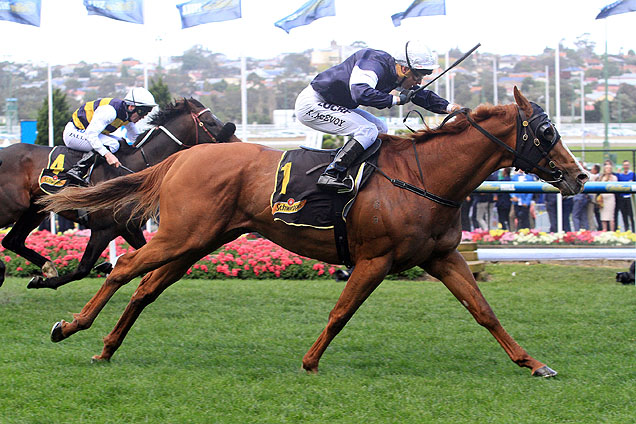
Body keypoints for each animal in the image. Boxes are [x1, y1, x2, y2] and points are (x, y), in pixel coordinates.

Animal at [0, 97, 238, 288]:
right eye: (210, 122)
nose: (238, 144)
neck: (137, 166)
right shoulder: (103, 229)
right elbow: (82, 269)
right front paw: (42, 281)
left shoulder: (129, 227)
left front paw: (108, 265)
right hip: (12, 208)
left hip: (34, 210)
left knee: (12, 241)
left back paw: (47, 266)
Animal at [42, 88, 588, 376]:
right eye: (546, 132)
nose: (580, 176)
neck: (423, 176)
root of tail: (183, 156)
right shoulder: (375, 260)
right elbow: (341, 312)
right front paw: (309, 361)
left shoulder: (442, 258)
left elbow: (484, 311)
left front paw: (533, 363)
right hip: (180, 235)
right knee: (124, 270)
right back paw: (70, 325)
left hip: (198, 241)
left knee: (147, 288)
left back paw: (107, 346)